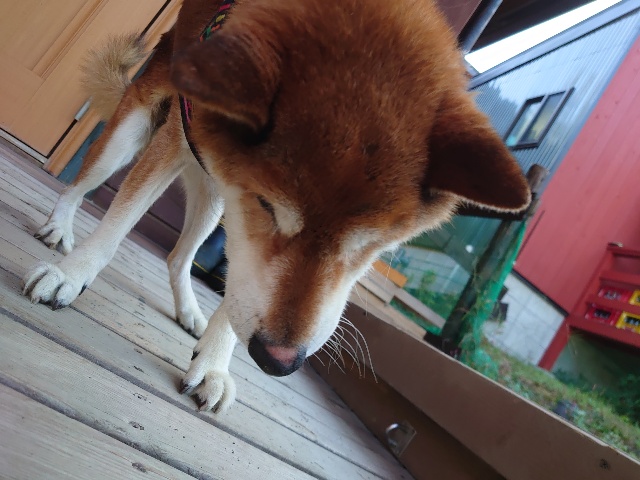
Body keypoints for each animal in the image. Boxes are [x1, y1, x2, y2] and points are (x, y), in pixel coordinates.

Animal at [22, 0, 530, 413]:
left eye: (372, 247)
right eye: (266, 206)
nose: (278, 361)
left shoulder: (246, 241)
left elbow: (243, 299)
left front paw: (214, 364)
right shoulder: (182, 154)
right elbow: (115, 226)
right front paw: (69, 276)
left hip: (213, 201)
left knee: (178, 257)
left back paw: (190, 311)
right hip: (134, 134)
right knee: (81, 185)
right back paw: (60, 229)